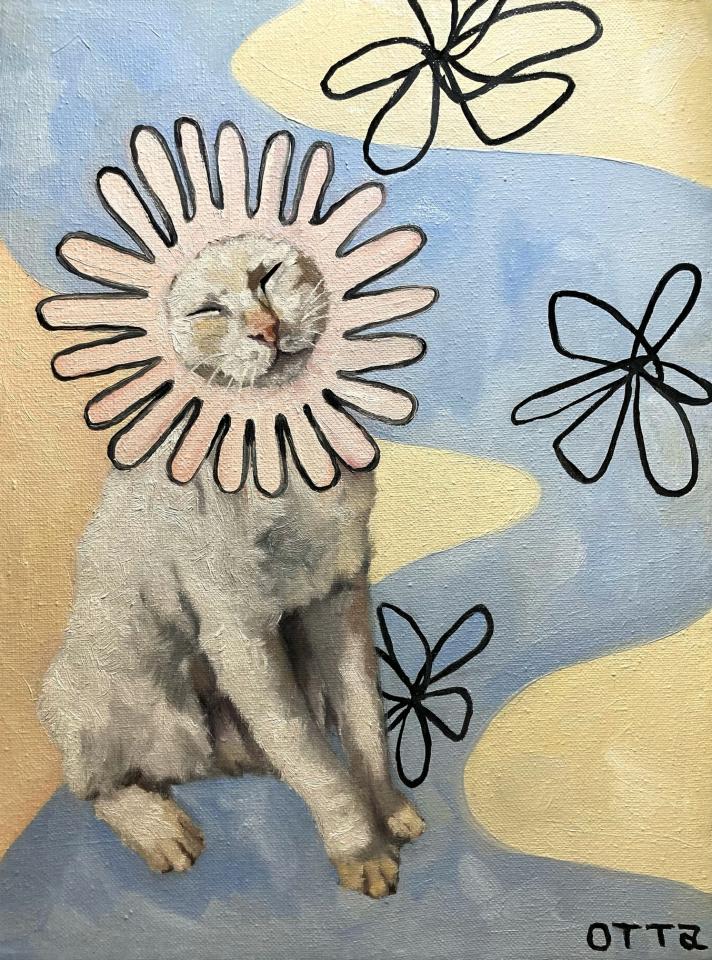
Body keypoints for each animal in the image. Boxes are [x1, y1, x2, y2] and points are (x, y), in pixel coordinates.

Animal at [39, 233, 425, 899]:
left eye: (267, 275)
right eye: (208, 311)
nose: (268, 329)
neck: (277, 447)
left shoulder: (339, 599)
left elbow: (364, 721)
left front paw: (388, 808)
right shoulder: (239, 635)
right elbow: (313, 757)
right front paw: (361, 848)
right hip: (156, 711)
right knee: (97, 785)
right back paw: (160, 831)